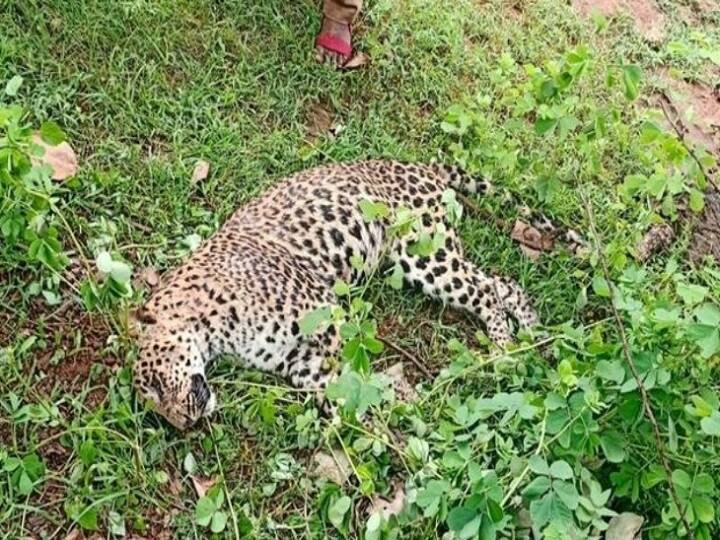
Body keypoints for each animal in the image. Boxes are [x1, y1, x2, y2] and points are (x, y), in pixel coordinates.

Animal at [133, 160, 538, 429]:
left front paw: (390, 415)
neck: (209, 328)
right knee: (503, 283)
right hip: (422, 260)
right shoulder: (300, 363)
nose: (183, 423)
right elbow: (339, 393)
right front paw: (377, 424)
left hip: (424, 253)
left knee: (485, 290)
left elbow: (357, 374)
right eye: (156, 411)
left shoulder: (325, 314)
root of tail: (416, 163)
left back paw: (504, 353)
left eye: (157, 384)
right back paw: (532, 334)